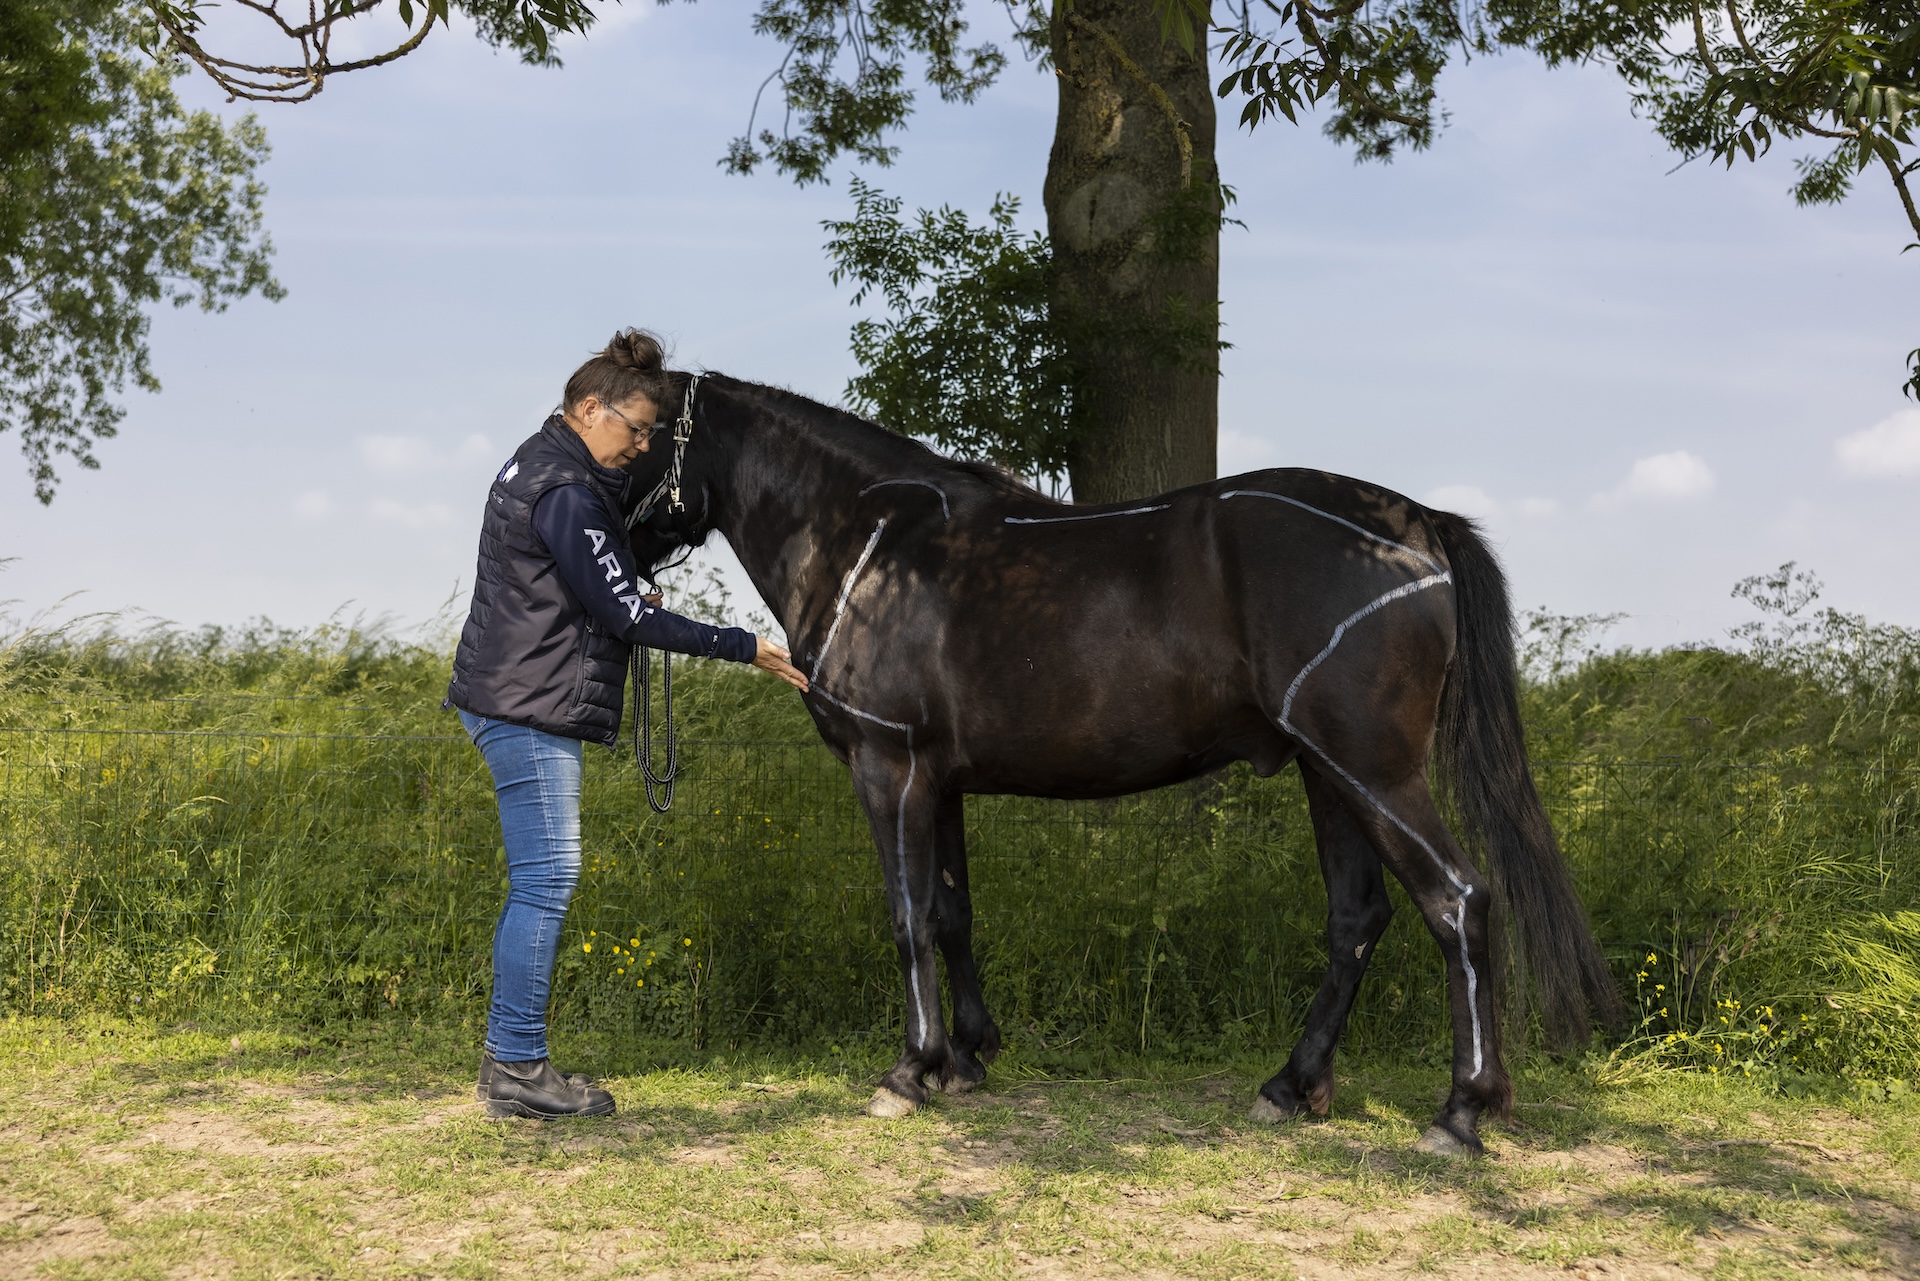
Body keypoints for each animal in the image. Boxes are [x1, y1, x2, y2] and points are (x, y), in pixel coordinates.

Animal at [622, 372, 1623, 1155]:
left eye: (631, 435)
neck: (872, 547)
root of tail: (1417, 525)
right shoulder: (940, 782)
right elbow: (951, 913)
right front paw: (968, 1059)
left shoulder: (889, 768)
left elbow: (907, 919)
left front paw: (910, 1070)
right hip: (1328, 774)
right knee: (1358, 917)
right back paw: (1291, 1086)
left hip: (1373, 771)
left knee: (1456, 900)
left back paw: (1460, 1112)